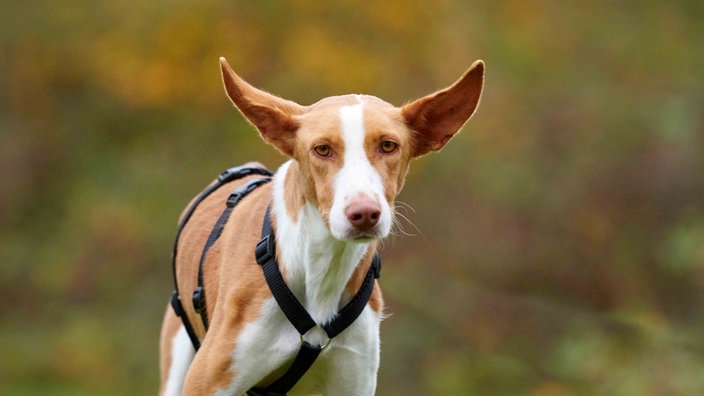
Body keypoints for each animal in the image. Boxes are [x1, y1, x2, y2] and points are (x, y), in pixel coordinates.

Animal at [158, 56, 484, 396]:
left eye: (388, 146)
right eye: (322, 149)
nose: (364, 213)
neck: (323, 266)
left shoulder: (354, 379)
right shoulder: (207, 384)